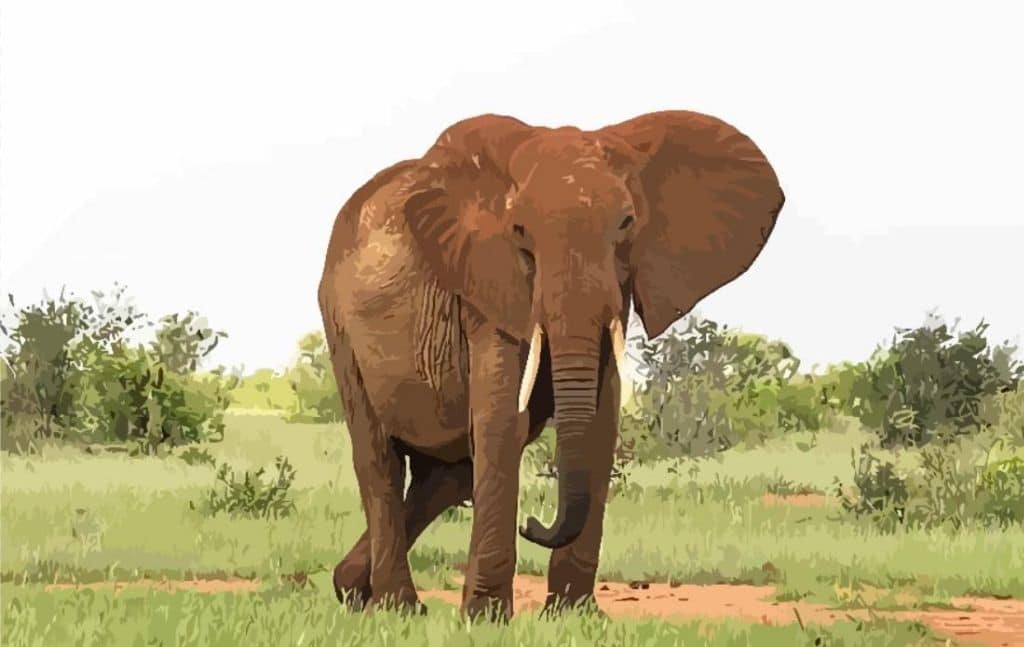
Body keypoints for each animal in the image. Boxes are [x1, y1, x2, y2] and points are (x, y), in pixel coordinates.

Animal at [317, 110, 784, 619]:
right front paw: (486, 620)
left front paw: (574, 616)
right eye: (519, 231)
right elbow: (504, 421)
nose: (533, 523)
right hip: (340, 326)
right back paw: (396, 608)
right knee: (379, 458)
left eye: (627, 223)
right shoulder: (486, 283)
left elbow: (599, 424)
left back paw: (351, 589)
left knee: (447, 475)